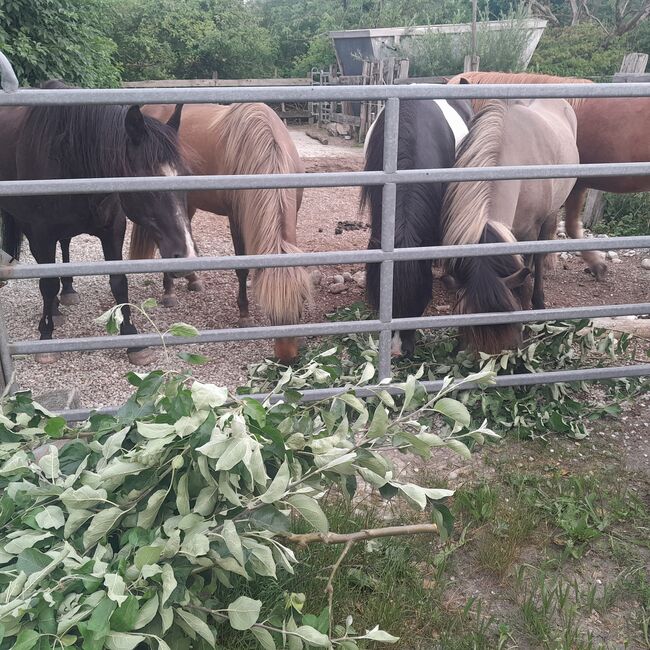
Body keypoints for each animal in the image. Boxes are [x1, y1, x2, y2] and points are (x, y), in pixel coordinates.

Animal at [0, 80, 196, 365]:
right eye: (145, 181)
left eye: (186, 176)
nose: (186, 255)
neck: (69, 157)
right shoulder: (41, 233)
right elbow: (47, 283)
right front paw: (46, 337)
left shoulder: (113, 229)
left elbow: (118, 281)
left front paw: (132, 338)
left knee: (65, 244)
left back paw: (67, 292)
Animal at [440, 98, 579, 354]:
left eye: (513, 329)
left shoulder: (528, 233)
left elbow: (524, 278)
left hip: (550, 214)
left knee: (540, 258)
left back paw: (539, 300)